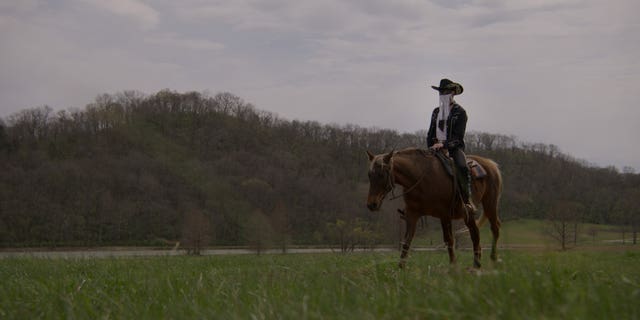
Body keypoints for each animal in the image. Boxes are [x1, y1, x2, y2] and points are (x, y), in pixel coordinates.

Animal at [368, 148, 502, 268]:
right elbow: (407, 241)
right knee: (476, 233)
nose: (371, 204)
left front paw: (453, 267)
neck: (421, 178)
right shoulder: (412, 214)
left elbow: (449, 240)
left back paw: (488, 261)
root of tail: (489, 163)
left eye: (381, 174)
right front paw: (400, 268)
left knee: (490, 229)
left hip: (488, 204)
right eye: (369, 175)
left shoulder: (445, 214)